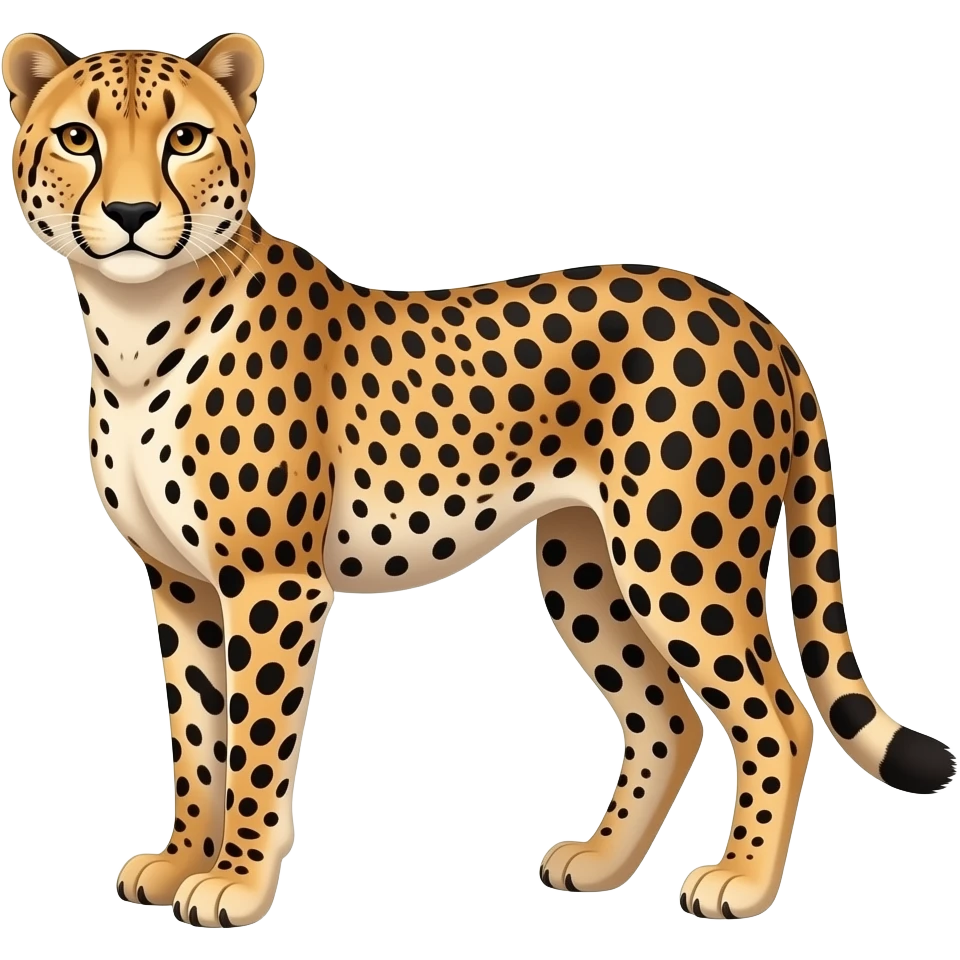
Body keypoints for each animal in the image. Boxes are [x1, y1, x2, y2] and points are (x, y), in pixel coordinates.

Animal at [5, 29, 956, 927]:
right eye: (79, 138)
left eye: (187, 138)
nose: (132, 212)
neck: (136, 325)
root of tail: (750, 314)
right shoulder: (180, 584)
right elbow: (196, 735)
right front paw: (179, 862)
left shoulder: (272, 583)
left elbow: (258, 743)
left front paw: (234, 883)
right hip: (583, 565)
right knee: (667, 714)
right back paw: (602, 863)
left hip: (680, 559)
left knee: (777, 713)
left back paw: (744, 882)